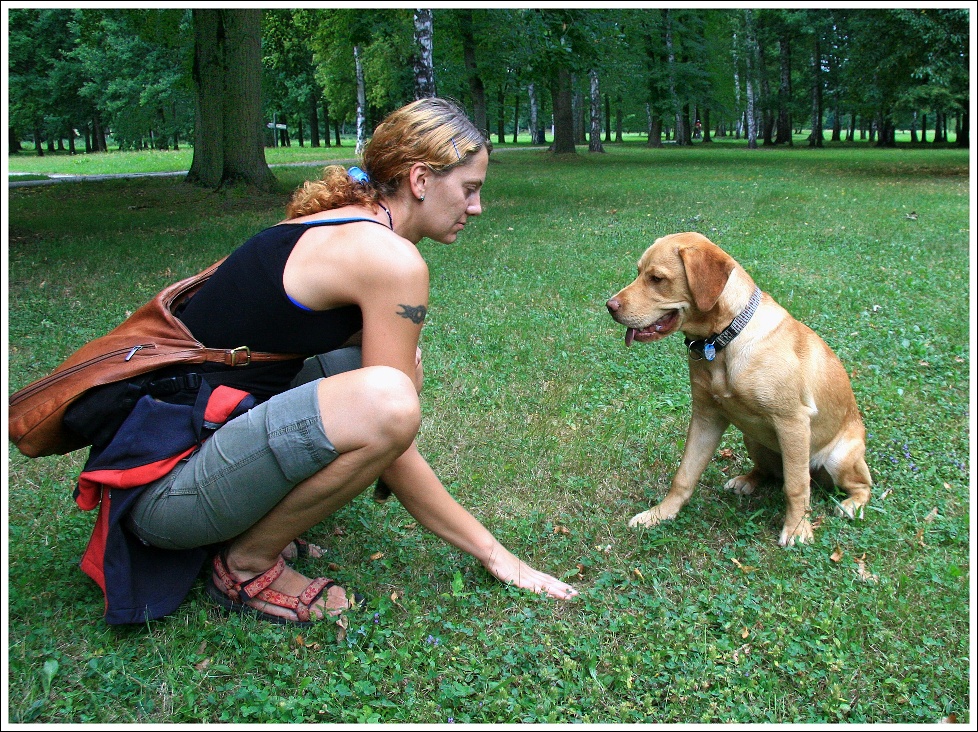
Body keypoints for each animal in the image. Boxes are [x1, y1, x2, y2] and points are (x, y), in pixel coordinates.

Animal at [608, 232, 872, 548]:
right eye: (638, 272)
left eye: (657, 278)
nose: (609, 306)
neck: (724, 339)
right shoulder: (707, 415)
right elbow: (684, 475)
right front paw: (660, 514)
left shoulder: (793, 422)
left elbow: (797, 487)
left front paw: (797, 529)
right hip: (753, 437)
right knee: (771, 473)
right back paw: (746, 481)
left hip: (837, 458)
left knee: (861, 484)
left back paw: (851, 505)